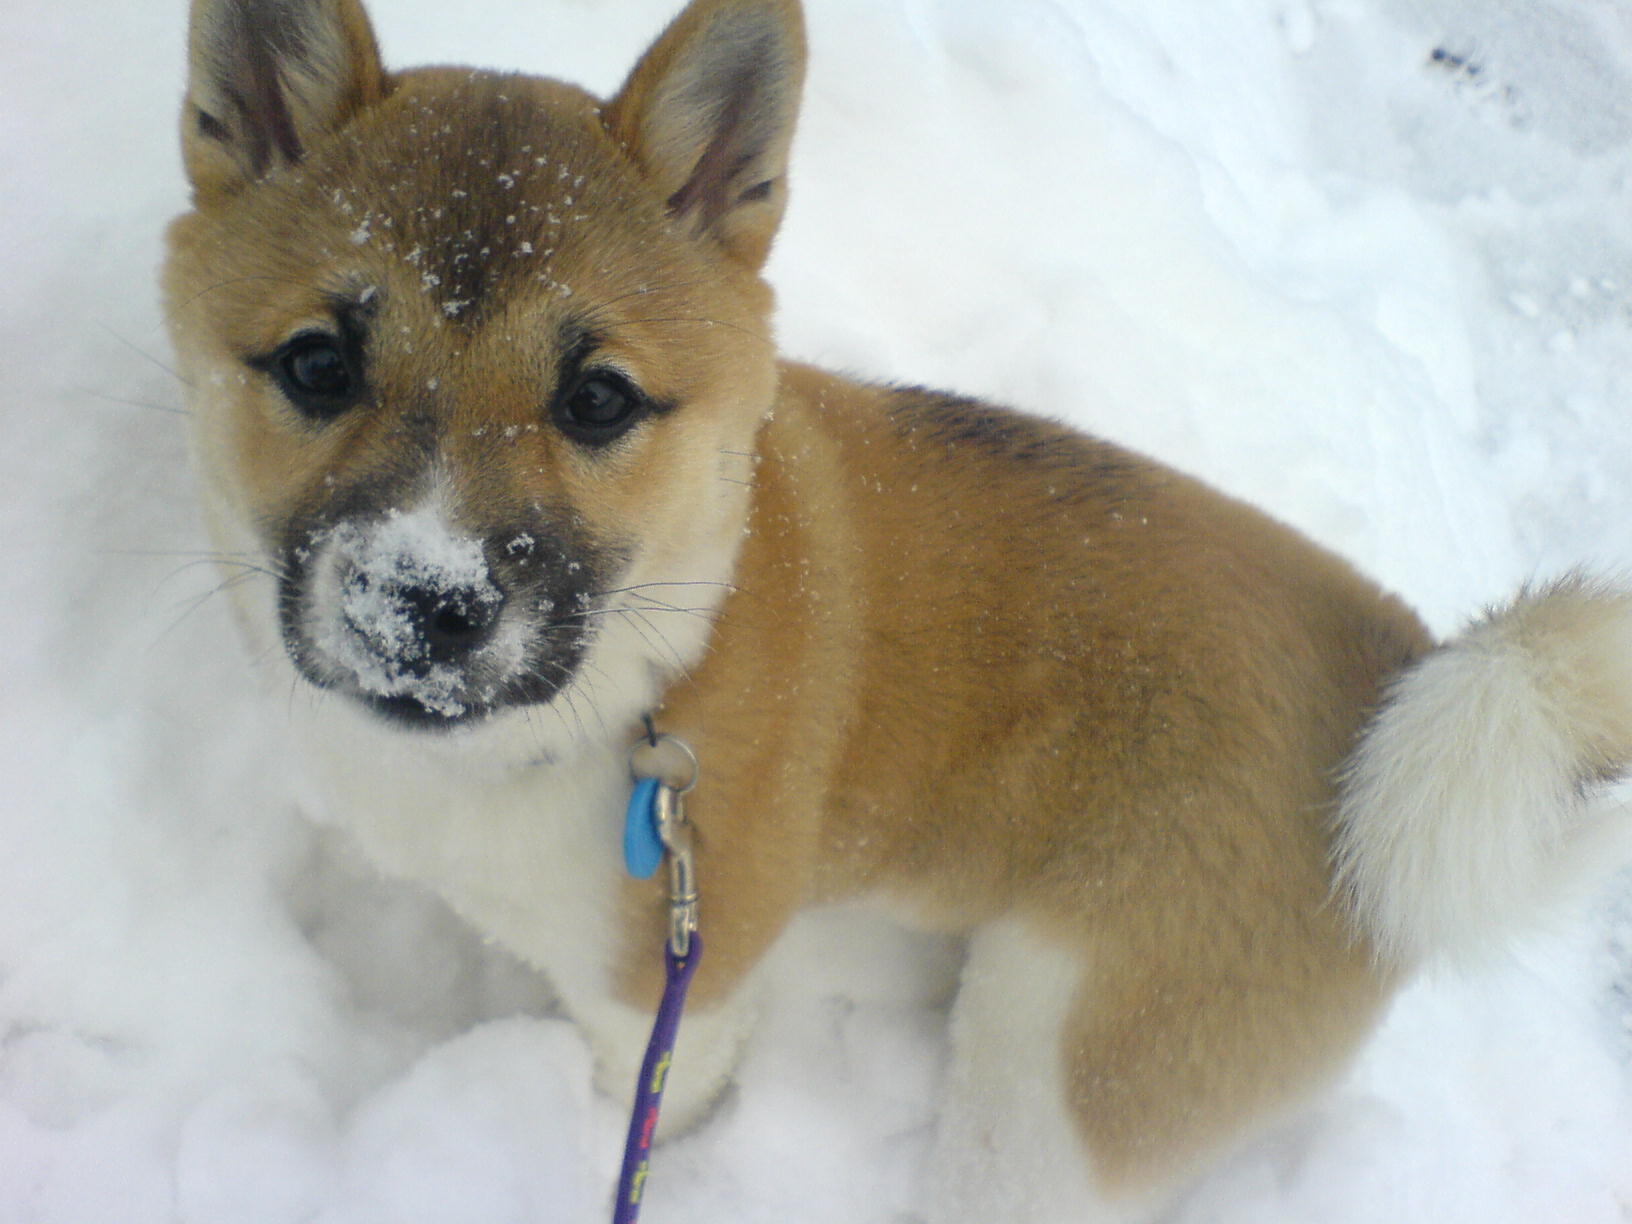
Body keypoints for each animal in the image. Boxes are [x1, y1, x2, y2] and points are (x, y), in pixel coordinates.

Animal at [162, 2, 1632, 1224]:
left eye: (598, 399)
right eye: (317, 364)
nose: (430, 603)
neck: (652, 670)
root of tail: (1401, 673)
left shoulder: (674, 1010)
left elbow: (646, 1106)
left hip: (1055, 1093)